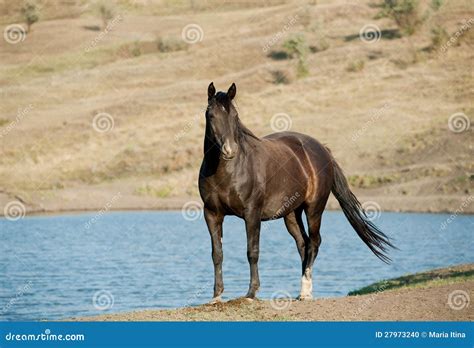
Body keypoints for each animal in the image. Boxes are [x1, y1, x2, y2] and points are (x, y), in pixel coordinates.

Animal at [198, 82, 394, 302]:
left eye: (235, 115)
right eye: (211, 115)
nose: (229, 150)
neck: (230, 171)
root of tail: (322, 149)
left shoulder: (252, 214)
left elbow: (252, 251)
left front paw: (251, 292)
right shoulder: (212, 214)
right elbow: (217, 254)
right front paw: (216, 296)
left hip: (314, 209)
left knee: (314, 242)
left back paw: (305, 291)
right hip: (291, 214)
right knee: (303, 244)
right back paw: (304, 289)